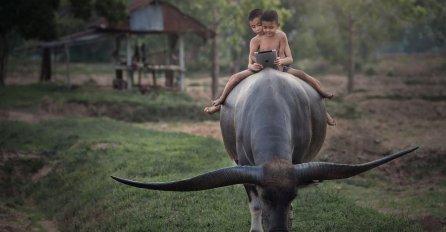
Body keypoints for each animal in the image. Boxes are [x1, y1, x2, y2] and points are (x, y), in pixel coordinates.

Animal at [112, 68, 418, 232]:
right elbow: (254, 204)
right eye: (267, 196)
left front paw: (291, 218)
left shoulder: (296, 161)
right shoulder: (244, 166)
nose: (279, 229)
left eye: (292, 195)